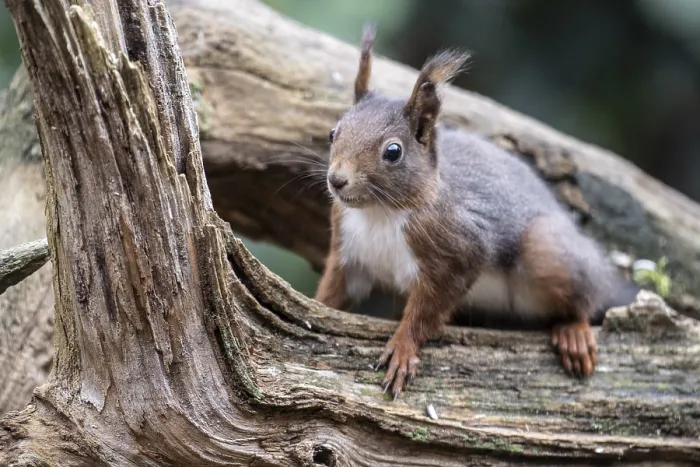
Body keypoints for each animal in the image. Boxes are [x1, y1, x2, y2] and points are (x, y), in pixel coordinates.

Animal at [314, 24, 638, 400]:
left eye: (392, 152)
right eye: (333, 132)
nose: (337, 180)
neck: (380, 213)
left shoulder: (459, 250)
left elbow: (428, 311)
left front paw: (403, 348)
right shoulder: (348, 250)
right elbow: (334, 291)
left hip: (547, 252)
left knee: (586, 293)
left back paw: (574, 330)